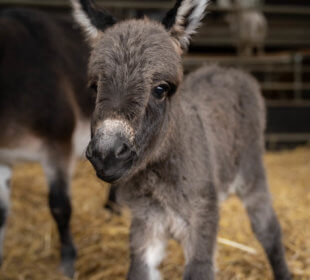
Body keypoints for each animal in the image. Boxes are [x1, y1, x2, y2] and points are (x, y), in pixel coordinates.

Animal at [72, 0, 290, 280]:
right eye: (95, 87)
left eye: (160, 89)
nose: (106, 155)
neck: (159, 177)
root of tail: (228, 69)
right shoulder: (146, 225)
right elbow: (139, 270)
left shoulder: (201, 222)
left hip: (252, 171)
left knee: (268, 229)